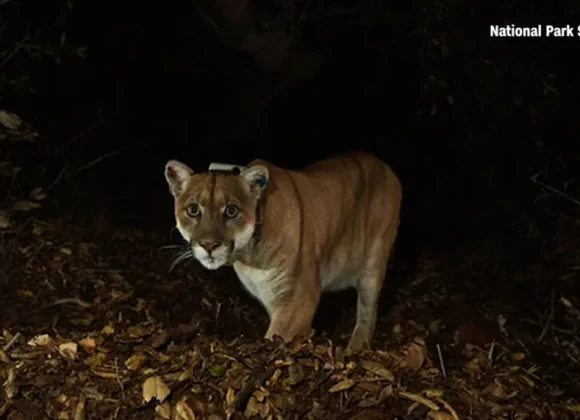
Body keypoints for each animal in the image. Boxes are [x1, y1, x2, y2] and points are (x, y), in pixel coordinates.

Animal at [163, 153, 398, 350]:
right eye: (193, 210)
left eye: (231, 211)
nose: (209, 245)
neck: (247, 255)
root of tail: (383, 164)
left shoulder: (298, 299)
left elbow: (278, 336)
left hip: (374, 262)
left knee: (368, 309)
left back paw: (356, 347)